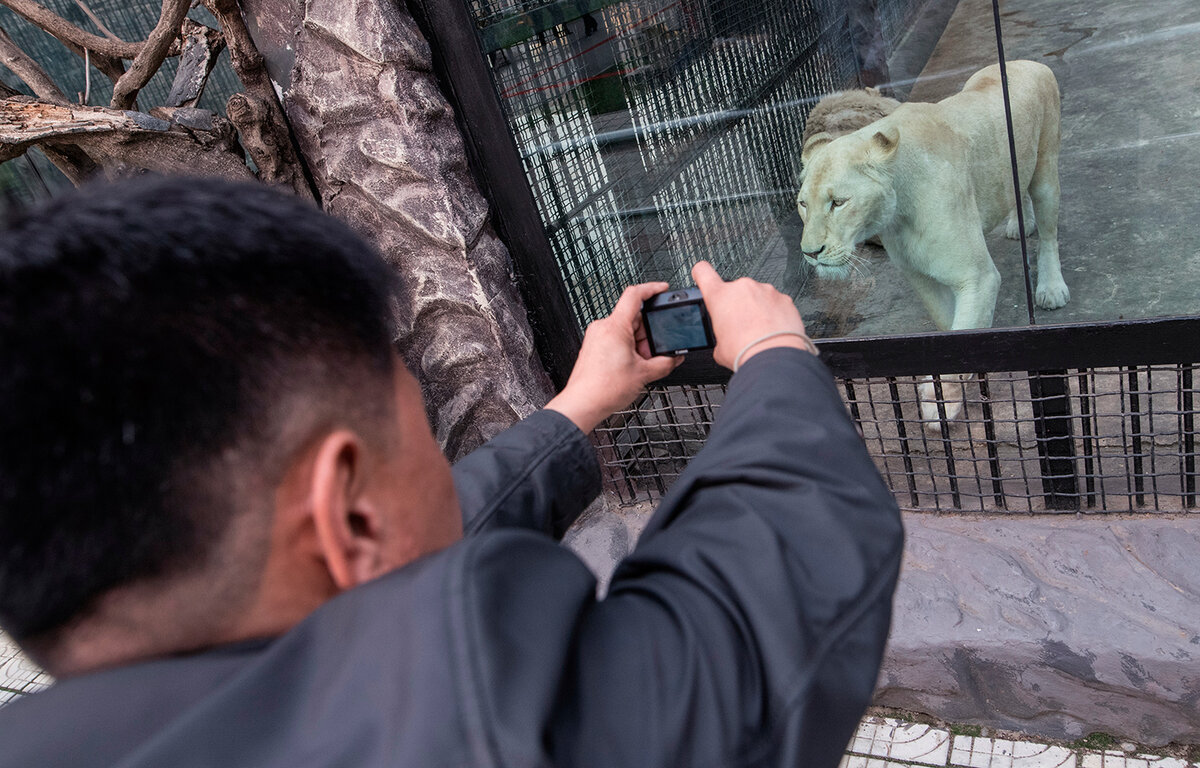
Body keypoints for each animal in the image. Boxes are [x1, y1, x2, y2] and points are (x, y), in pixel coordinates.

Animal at [796, 59, 1070, 420]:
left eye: (838, 202)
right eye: (803, 204)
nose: (811, 253)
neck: (898, 214)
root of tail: (1025, 61)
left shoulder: (977, 276)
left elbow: (963, 334)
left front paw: (941, 402)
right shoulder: (919, 275)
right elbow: (946, 323)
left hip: (1046, 166)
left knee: (1049, 233)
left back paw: (1051, 288)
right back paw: (1017, 223)